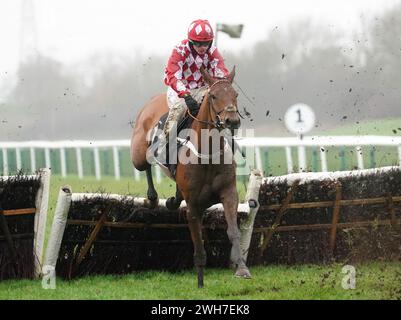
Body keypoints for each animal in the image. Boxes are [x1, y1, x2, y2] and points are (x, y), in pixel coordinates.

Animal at [130, 67, 250, 288]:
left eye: (235, 94)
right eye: (213, 96)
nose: (232, 121)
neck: (208, 155)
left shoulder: (229, 194)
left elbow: (233, 231)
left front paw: (242, 269)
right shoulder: (193, 205)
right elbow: (198, 242)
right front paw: (200, 281)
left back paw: (172, 199)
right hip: (139, 155)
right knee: (146, 166)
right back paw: (152, 198)